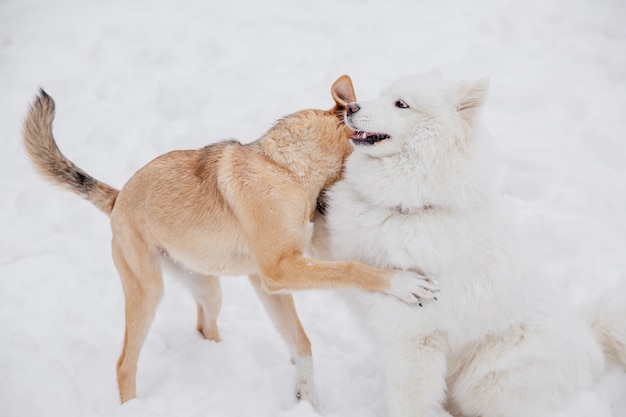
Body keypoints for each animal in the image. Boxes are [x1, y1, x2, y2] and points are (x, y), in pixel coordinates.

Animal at [23, 76, 434, 404]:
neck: (285, 170)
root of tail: (118, 197)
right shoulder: (278, 270)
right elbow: (352, 269)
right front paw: (402, 283)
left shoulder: (269, 282)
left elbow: (302, 344)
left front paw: (308, 399)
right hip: (147, 293)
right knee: (125, 364)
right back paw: (131, 405)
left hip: (208, 287)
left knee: (205, 326)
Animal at [314, 72, 624, 416]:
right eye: (382, 95)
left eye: (401, 104)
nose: (351, 106)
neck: (412, 208)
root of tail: (594, 347)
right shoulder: (345, 257)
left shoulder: (414, 339)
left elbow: (409, 402)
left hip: (490, 383)